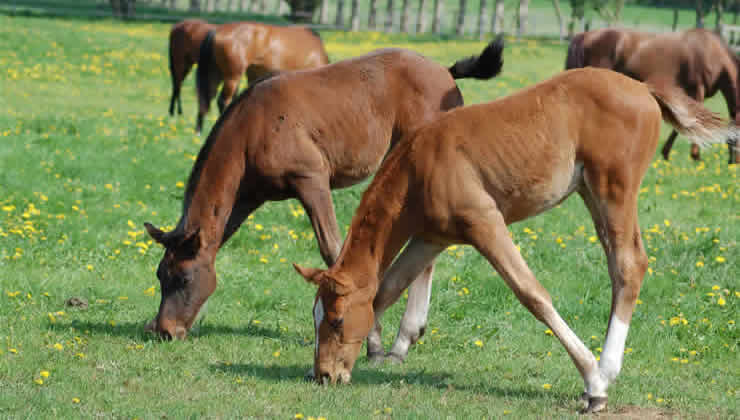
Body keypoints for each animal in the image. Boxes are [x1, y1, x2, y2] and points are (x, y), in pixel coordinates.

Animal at [142, 39, 506, 342]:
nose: (166, 331)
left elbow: (333, 249)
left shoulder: (312, 179)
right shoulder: (247, 197)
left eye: (184, 279)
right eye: (160, 275)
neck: (251, 129)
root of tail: (446, 72)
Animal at [294, 69, 736, 414]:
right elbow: (387, 288)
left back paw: (603, 374)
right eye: (316, 318)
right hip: (592, 195)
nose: (323, 375)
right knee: (621, 265)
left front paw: (592, 381)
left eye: (335, 320)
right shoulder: (430, 238)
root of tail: (642, 87)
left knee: (630, 265)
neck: (419, 168)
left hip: (614, 190)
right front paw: (388, 348)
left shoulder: (485, 224)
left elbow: (532, 293)